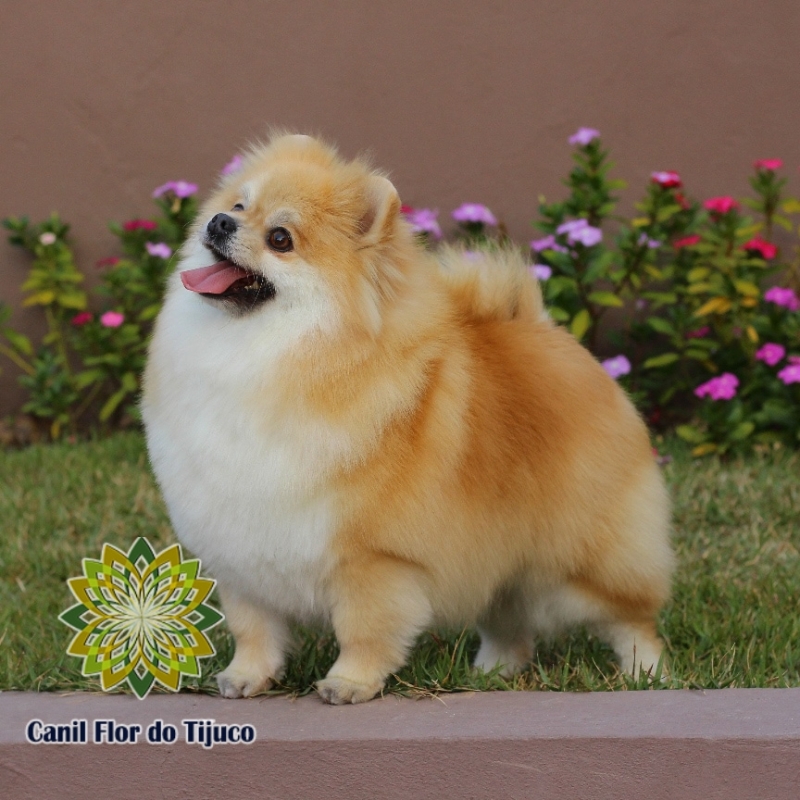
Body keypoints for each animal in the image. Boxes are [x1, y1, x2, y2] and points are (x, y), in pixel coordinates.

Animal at [141, 134, 672, 704]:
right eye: (239, 206)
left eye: (281, 238)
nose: (218, 222)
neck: (265, 353)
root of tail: (549, 333)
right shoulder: (240, 551)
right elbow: (253, 629)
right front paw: (247, 676)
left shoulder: (372, 559)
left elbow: (363, 629)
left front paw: (348, 683)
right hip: (495, 554)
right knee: (507, 617)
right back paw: (491, 672)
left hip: (582, 561)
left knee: (631, 620)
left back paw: (647, 674)